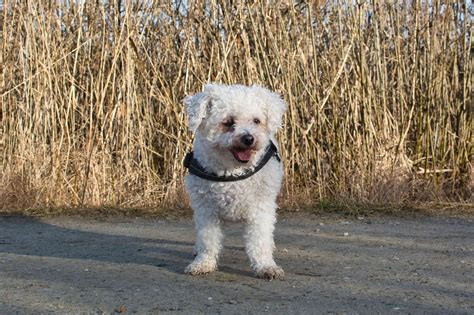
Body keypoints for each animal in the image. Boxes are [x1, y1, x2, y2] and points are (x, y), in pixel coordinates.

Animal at [181, 83, 286, 278]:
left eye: (256, 121)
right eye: (229, 122)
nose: (249, 138)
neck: (232, 172)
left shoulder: (260, 209)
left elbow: (260, 241)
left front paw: (265, 266)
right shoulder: (206, 210)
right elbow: (208, 240)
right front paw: (203, 263)